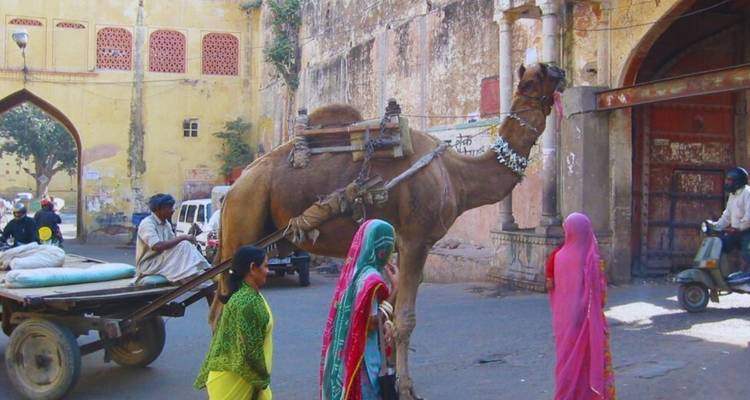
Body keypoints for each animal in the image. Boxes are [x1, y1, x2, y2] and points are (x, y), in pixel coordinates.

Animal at [211, 62, 565, 398]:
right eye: (529, 82)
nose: (560, 71)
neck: (456, 175)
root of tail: (233, 188)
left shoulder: (402, 245)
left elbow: (390, 311)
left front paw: (391, 377)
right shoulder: (415, 240)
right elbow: (405, 318)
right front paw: (406, 388)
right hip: (243, 224)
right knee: (221, 307)